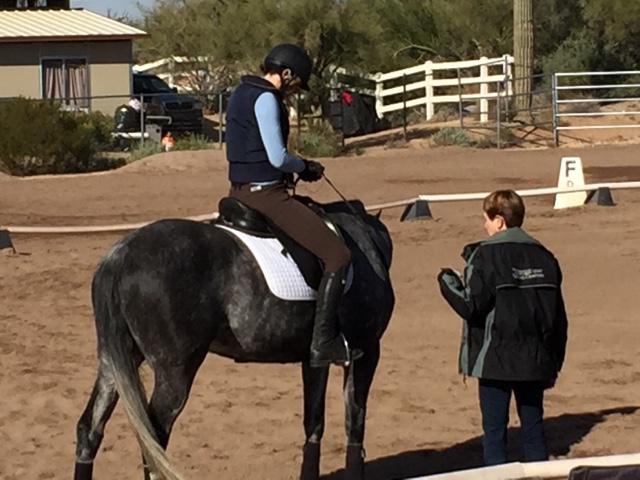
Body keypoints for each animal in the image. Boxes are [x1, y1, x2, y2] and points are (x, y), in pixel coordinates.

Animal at [72, 191, 395, 480]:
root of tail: (120, 254)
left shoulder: (315, 358)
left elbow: (313, 423)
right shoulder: (367, 349)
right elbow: (355, 423)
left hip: (113, 363)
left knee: (90, 430)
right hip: (174, 373)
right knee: (154, 444)